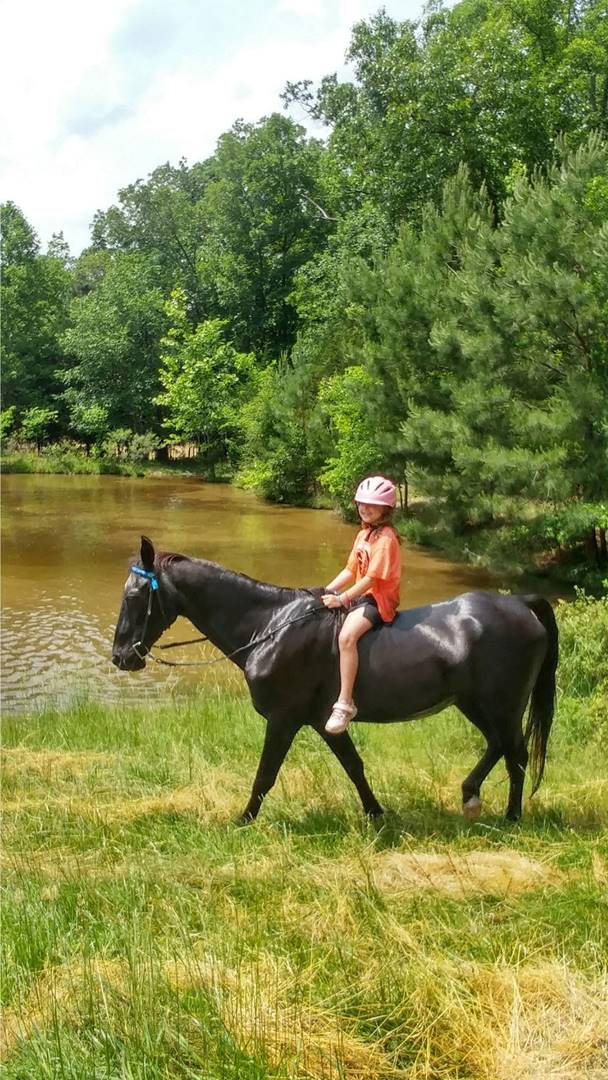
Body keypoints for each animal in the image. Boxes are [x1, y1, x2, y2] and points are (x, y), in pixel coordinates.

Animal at [112, 536, 558, 824]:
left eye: (134, 596)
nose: (120, 657)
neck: (271, 626)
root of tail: (521, 604)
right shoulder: (321, 722)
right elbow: (354, 766)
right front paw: (376, 815)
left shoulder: (284, 719)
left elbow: (266, 773)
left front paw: (243, 820)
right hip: (475, 703)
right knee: (500, 746)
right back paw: (478, 800)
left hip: (501, 705)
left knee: (515, 752)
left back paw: (507, 815)